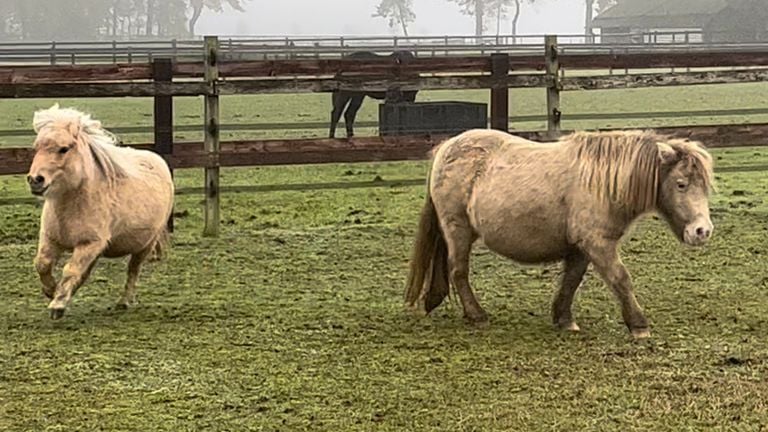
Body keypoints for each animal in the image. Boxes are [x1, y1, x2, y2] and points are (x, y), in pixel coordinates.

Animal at [26, 104, 174, 318]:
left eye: (64, 149)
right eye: (36, 148)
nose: (35, 180)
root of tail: (157, 160)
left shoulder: (89, 244)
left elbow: (70, 270)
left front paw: (57, 304)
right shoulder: (51, 238)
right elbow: (43, 264)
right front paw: (51, 291)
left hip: (145, 245)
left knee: (133, 270)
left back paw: (124, 302)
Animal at [404, 128, 716, 338]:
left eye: (704, 185)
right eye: (681, 184)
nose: (702, 231)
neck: (603, 183)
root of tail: (447, 147)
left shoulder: (580, 247)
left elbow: (571, 281)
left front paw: (564, 319)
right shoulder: (598, 244)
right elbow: (621, 279)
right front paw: (639, 325)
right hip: (457, 229)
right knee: (458, 271)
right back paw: (477, 315)